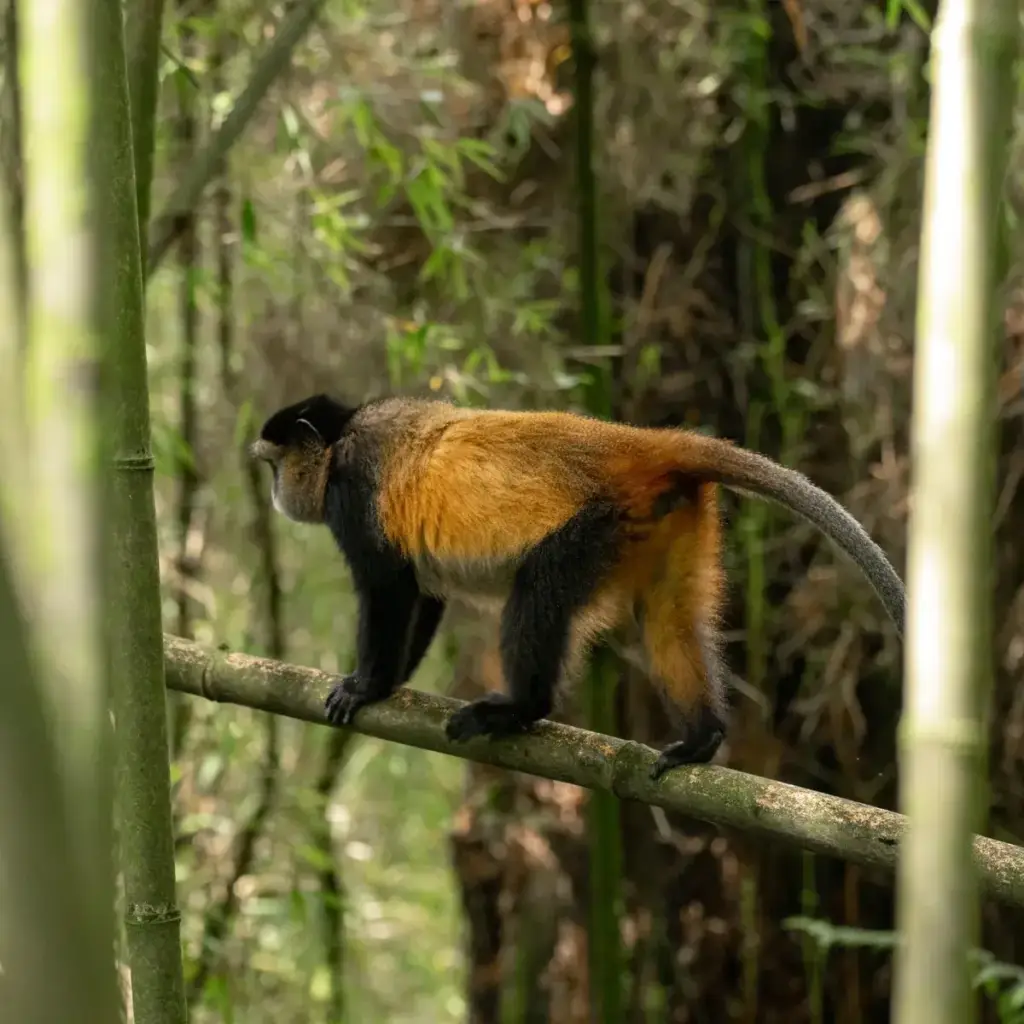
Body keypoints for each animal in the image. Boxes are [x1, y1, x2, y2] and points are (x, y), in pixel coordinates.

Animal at [249, 392, 904, 780]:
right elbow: (423, 591)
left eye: (274, 464)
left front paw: (366, 687)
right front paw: (387, 686)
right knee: (667, 617)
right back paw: (702, 737)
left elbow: (389, 587)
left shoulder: (352, 491)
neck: (342, 438)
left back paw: (520, 709)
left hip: (598, 524)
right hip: (666, 520)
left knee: (538, 590)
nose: (274, 491)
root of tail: (635, 445)